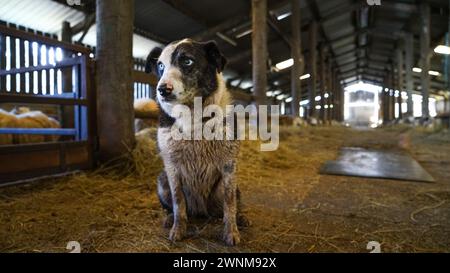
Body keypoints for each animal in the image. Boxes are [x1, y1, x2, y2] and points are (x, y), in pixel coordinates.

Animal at [146, 38, 248, 244]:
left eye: (187, 61)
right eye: (160, 66)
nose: (162, 90)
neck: (193, 118)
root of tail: (200, 211)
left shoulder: (228, 166)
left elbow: (230, 203)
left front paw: (231, 232)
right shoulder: (171, 167)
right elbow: (178, 202)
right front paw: (178, 229)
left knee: (224, 209)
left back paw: (240, 218)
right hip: (162, 180)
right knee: (176, 207)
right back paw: (169, 218)